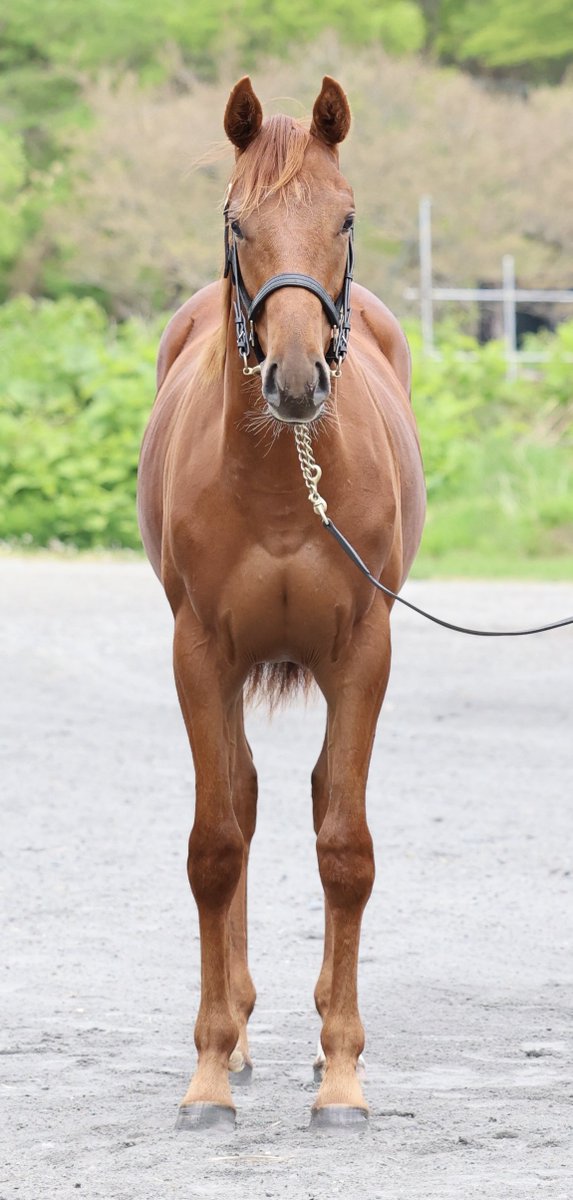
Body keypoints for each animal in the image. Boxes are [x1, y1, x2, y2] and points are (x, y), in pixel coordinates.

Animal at [137, 75, 426, 1131]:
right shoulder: (198, 655)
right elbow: (215, 847)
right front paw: (209, 1074)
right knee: (247, 803)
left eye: (343, 217)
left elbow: (344, 849)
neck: (281, 485)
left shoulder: (364, 654)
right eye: (237, 220)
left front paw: (341, 1077)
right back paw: (244, 1032)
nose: (294, 379)